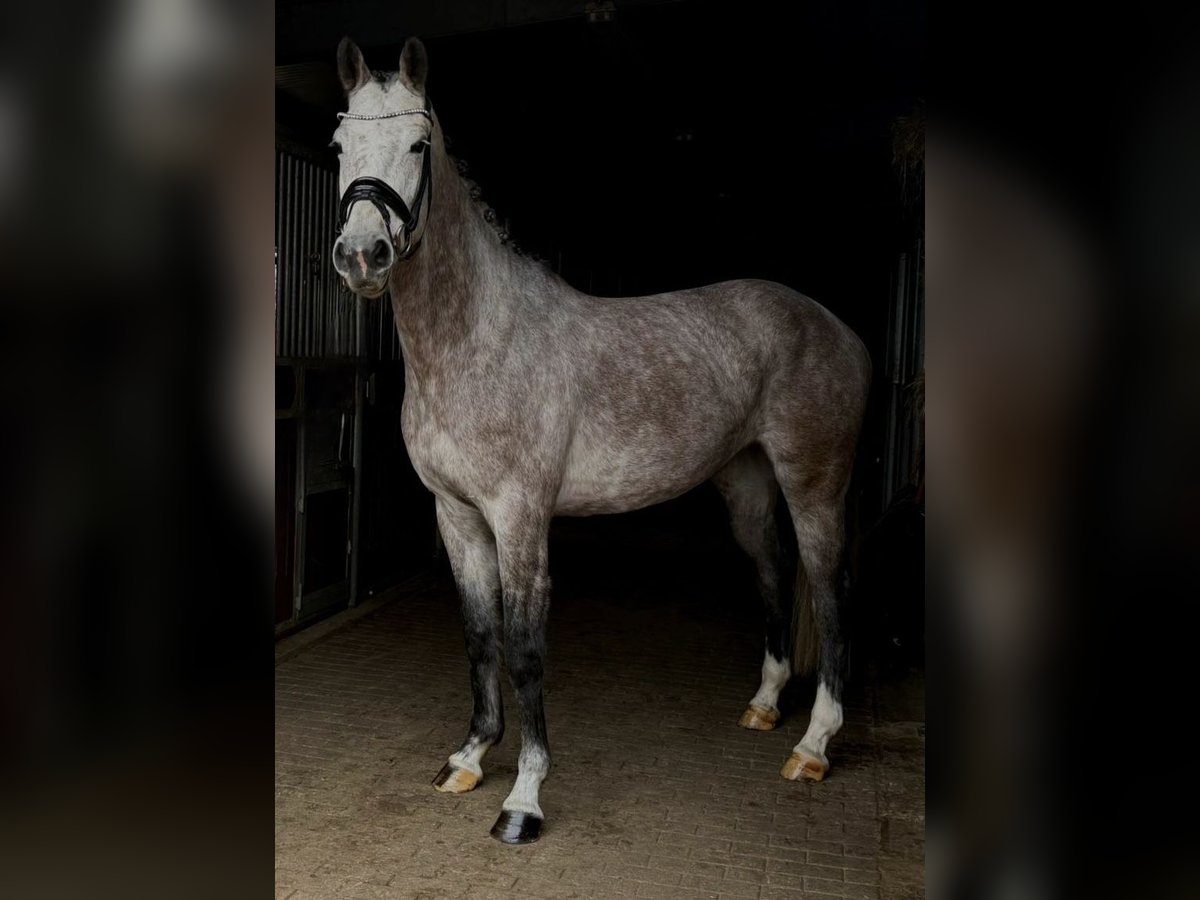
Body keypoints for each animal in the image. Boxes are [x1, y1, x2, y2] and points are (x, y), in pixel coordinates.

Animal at [328, 37, 871, 844]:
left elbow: (524, 647)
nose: (363, 255)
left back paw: (813, 746)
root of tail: (839, 329)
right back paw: (766, 706)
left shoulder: (520, 517)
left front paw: (523, 799)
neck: (479, 339)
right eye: (339, 147)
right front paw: (469, 757)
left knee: (829, 589)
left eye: (419, 145)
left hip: (815, 485)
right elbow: (479, 635)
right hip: (745, 483)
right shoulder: (456, 517)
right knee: (774, 573)